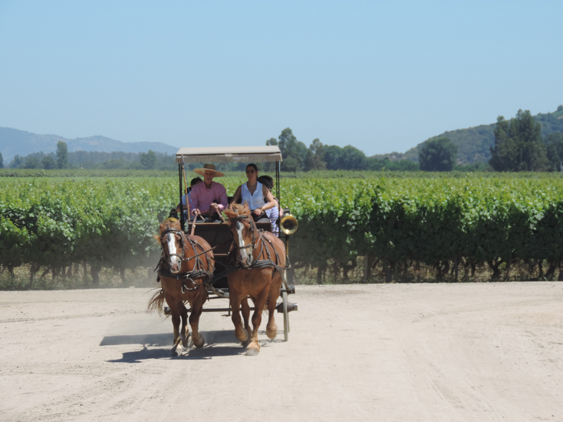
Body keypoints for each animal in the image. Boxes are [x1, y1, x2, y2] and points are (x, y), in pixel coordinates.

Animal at [148, 218, 216, 356]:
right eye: (163, 242)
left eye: (179, 240)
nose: (174, 265)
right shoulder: (170, 295)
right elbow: (176, 319)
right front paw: (178, 345)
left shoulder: (199, 294)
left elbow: (194, 318)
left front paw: (198, 340)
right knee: (184, 313)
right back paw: (185, 336)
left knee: (194, 313)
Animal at [224, 203, 288, 354]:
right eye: (231, 231)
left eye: (249, 228)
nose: (243, 259)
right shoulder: (234, 291)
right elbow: (237, 316)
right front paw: (243, 335)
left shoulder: (263, 291)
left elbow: (256, 317)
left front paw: (254, 344)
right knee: (246, 311)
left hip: (275, 284)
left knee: (272, 306)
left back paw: (271, 330)